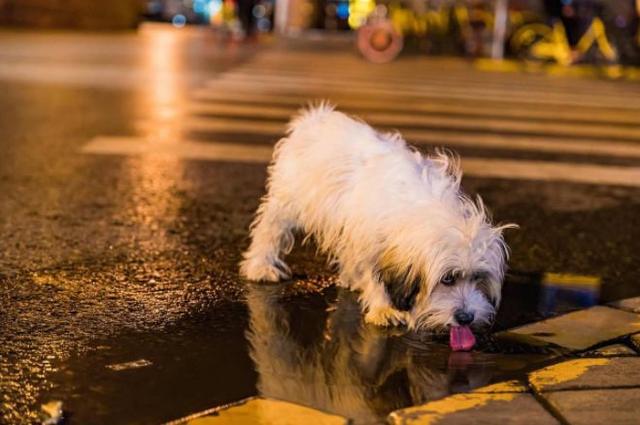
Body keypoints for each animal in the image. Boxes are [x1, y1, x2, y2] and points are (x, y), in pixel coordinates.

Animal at [240, 104, 516, 346]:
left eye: (478, 277)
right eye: (447, 279)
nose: (466, 317)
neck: (422, 210)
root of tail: (317, 117)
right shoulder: (368, 241)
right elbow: (372, 274)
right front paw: (383, 308)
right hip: (289, 200)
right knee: (271, 228)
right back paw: (261, 265)